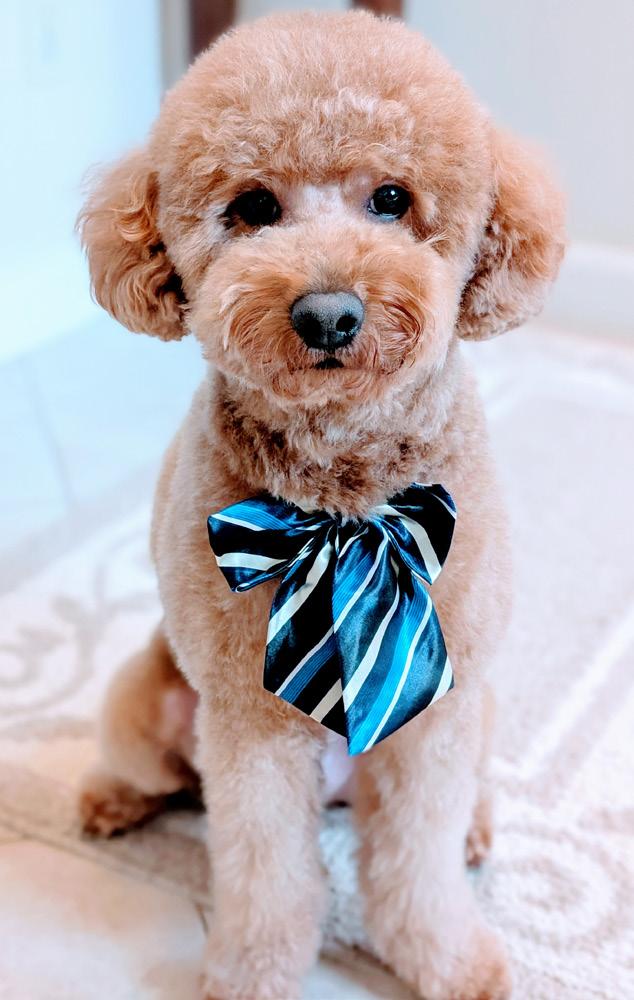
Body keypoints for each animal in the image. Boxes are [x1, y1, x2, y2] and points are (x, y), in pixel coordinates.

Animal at [77, 11, 564, 999]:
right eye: (255, 207)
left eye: (391, 198)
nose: (329, 314)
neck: (346, 508)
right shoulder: (251, 727)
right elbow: (267, 874)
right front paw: (253, 973)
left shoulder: (437, 720)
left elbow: (417, 864)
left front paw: (449, 961)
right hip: (145, 704)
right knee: (150, 770)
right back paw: (108, 800)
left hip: (480, 704)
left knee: (462, 796)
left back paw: (478, 829)